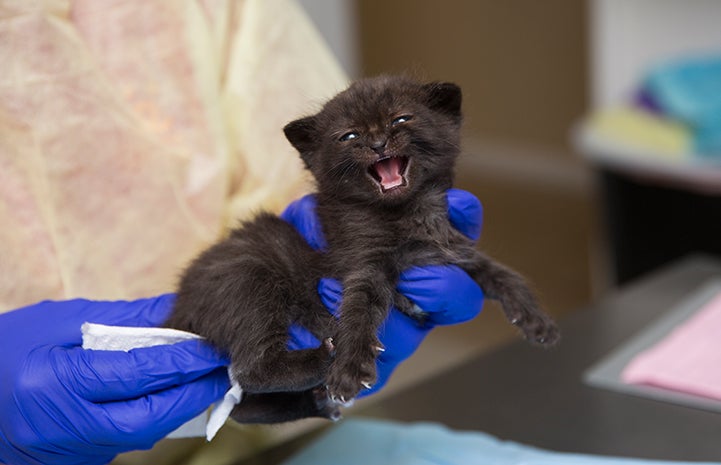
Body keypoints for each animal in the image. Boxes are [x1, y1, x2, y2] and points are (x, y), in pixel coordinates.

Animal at [166, 76, 560, 424]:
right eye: (350, 136)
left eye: (401, 118)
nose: (378, 142)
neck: (406, 215)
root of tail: (183, 301)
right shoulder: (362, 264)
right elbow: (358, 312)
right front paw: (350, 366)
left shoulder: (453, 249)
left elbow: (503, 273)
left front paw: (535, 319)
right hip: (251, 282)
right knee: (249, 368)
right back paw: (324, 359)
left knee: (243, 408)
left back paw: (318, 400)